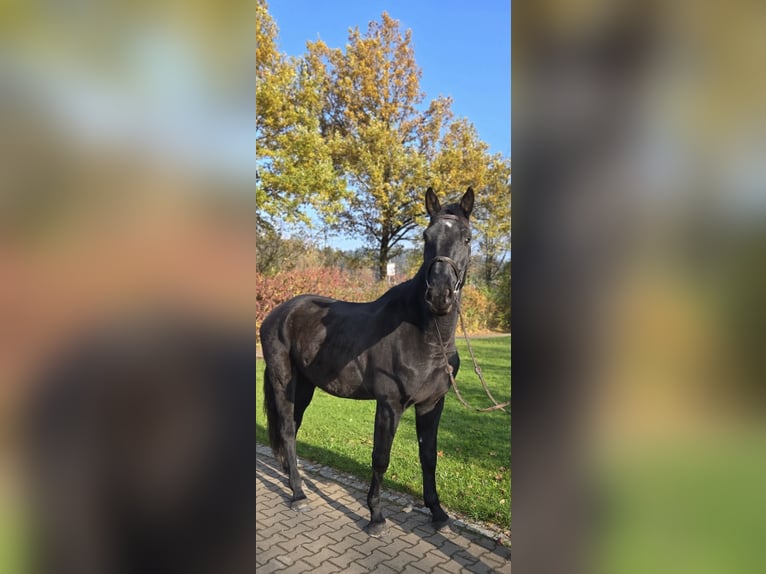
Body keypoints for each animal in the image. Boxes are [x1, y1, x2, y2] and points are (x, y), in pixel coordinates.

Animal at [260, 187, 474, 536]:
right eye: (427, 237)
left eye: (467, 238)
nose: (439, 295)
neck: (426, 337)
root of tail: (279, 312)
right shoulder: (389, 405)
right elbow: (381, 457)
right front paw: (376, 516)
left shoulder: (432, 404)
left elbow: (429, 456)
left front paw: (438, 514)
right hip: (283, 382)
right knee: (289, 430)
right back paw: (299, 494)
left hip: (304, 386)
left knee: (292, 427)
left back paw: (292, 480)